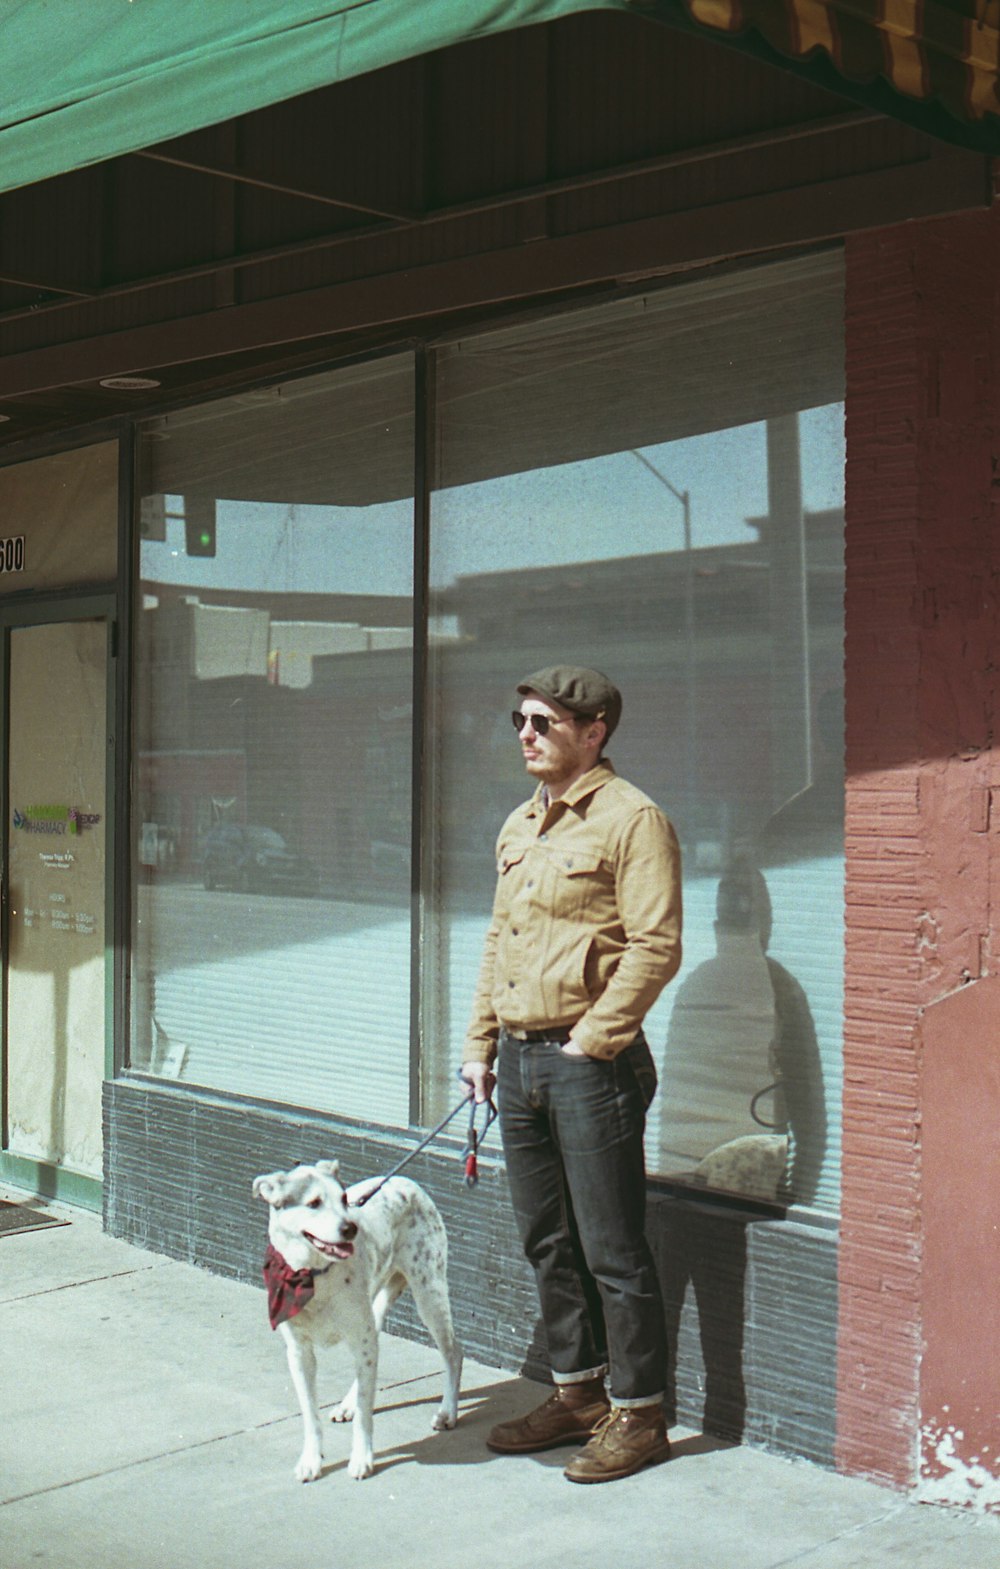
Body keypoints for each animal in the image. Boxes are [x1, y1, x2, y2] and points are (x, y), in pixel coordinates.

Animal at [255, 1167, 461, 1481]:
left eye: (343, 1199)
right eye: (313, 1203)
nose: (350, 1228)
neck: (313, 1276)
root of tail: (407, 1181)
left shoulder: (361, 1340)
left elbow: (366, 1412)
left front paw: (362, 1458)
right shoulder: (299, 1353)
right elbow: (310, 1414)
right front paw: (311, 1460)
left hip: (429, 1294)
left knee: (453, 1353)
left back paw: (448, 1412)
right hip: (375, 1305)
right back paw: (348, 1404)